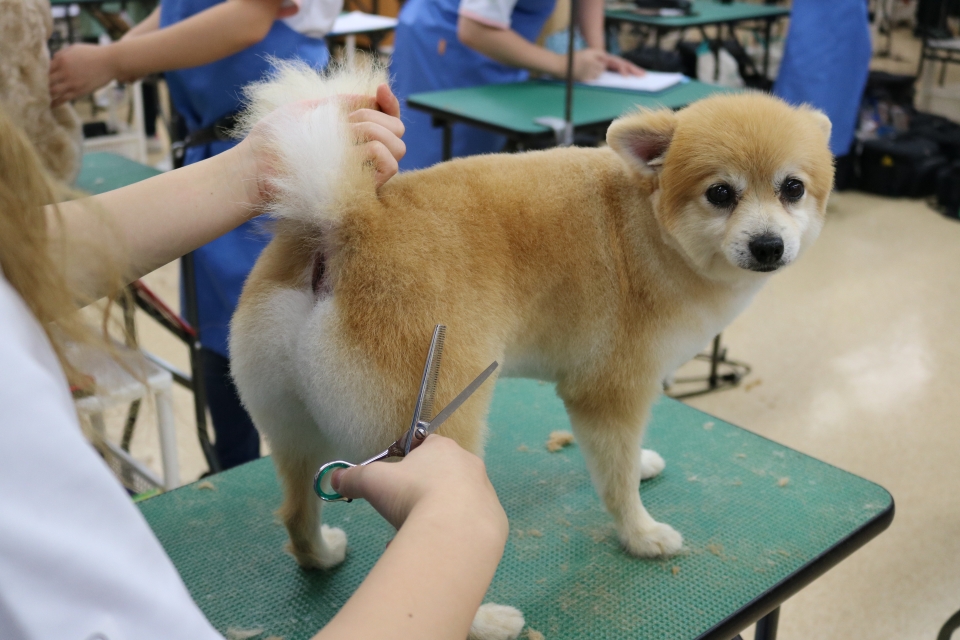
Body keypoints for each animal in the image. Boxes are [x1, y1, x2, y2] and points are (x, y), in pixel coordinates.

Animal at [231, 61, 832, 640]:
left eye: (793, 189)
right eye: (721, 194)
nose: (768, 245)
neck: (648, 228)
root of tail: (344, 228)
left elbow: (623, 459)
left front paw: (642, 465)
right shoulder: (610, 389)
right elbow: (615, 482)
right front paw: (641, 535)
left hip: (290, 421)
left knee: (295, 508)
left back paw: (321, 554)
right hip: (432, 428)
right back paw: (485, 622)